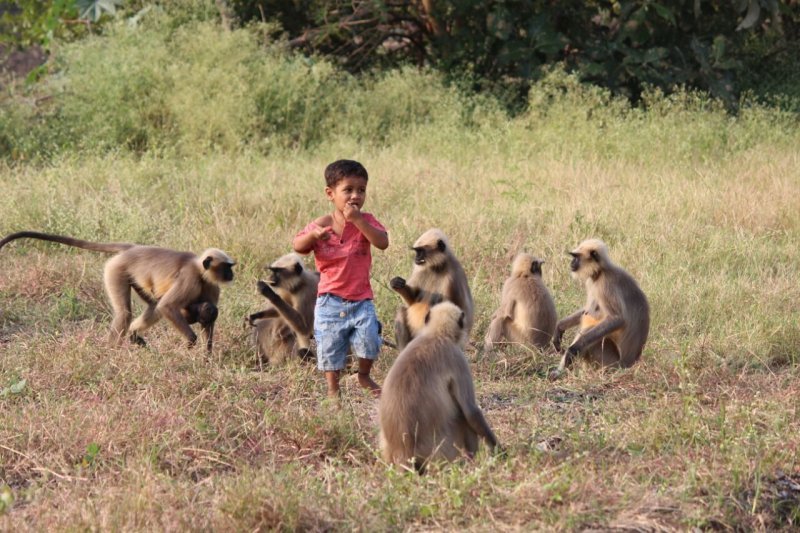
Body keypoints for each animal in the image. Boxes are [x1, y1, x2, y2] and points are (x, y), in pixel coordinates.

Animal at [0, 231, 236, 352]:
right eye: (227, 267)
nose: (232, 274)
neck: (199, 269)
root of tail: (133, 248)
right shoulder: (190, 278)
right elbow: (168, 306)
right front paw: (191, 340)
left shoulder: (210, 284)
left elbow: (208, 317)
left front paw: (207, 356)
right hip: (116, 270)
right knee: (127, 312)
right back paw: (112, 353)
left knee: (151, 306)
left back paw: (133, 334)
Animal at [378, 302, 496, 472]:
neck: (437, 333)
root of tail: (402, 450)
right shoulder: (457, 357)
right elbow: (470, 411)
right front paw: (497, 450)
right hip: (443, 447)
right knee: (462, 416)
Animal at [552, 239, 652, 372]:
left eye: (576, 257)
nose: (571, 263)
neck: (600, 272)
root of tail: (629, 363)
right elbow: (586, 310)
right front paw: (559, 327)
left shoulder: (605, 284)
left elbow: (617, 319)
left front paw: (572, 349)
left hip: (610, 361)